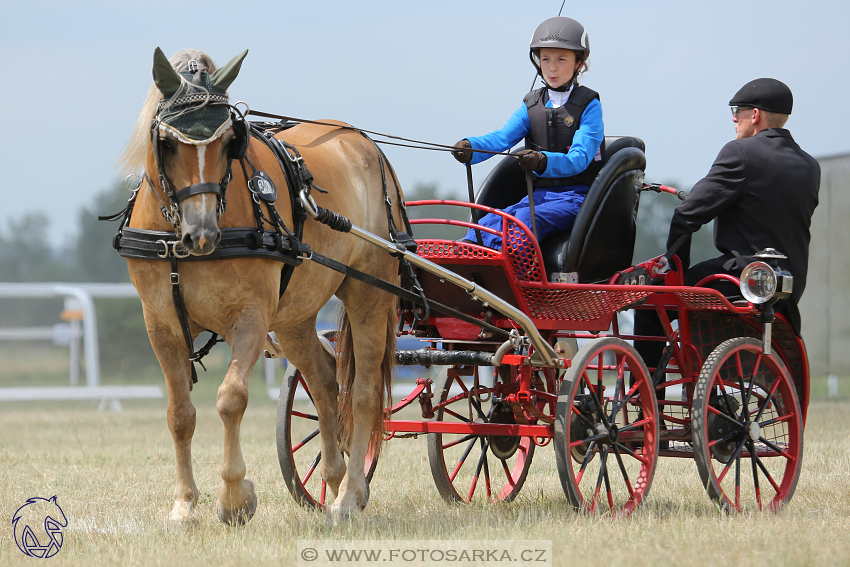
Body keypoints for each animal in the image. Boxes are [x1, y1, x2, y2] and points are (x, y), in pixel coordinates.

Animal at [117, 48, 402, 528]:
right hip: (294, 316)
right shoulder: (161, 325)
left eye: (229, 142)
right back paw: (333, 479)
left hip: (369, 294)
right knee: (325, 382)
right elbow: (180, 415)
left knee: (362, 393)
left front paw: (235, 498)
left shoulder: (250, 317)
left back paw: (348, 496)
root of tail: (363, 143)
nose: (201, 234)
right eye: (168, 143)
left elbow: (231, 399)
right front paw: (184, 505)